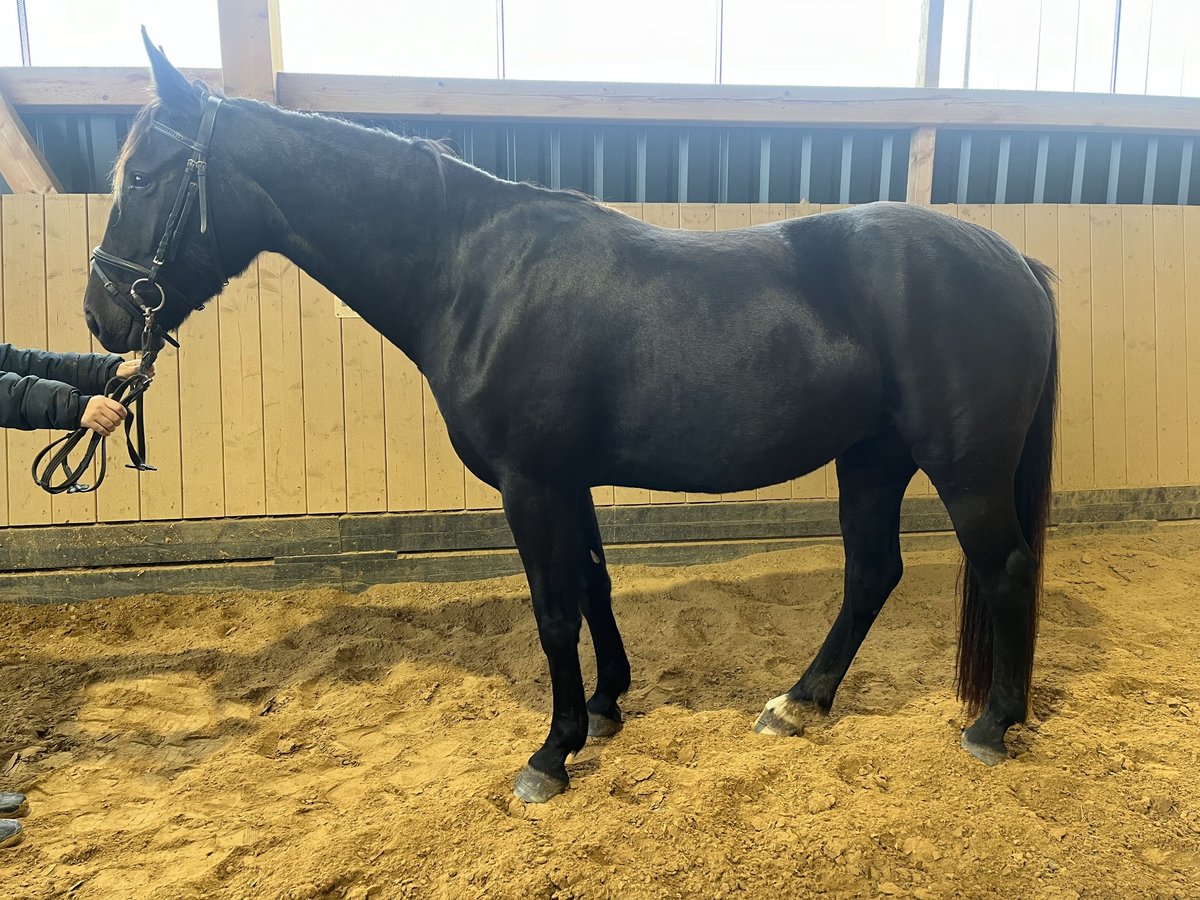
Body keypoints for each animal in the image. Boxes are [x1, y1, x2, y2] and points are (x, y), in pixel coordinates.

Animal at [84, 35, 1056, 806]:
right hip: (873, 458)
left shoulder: (533, 483)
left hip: (963, 466)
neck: (474, 275)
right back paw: (800, 703)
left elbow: (552, 611)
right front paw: (606, 705)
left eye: (145, 177)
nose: (101, 316)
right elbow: (593, 586)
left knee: (1005, 569)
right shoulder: (569, 480)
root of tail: (1015, 261)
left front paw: (550, 755)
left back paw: (991, 726)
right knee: (871, 574)